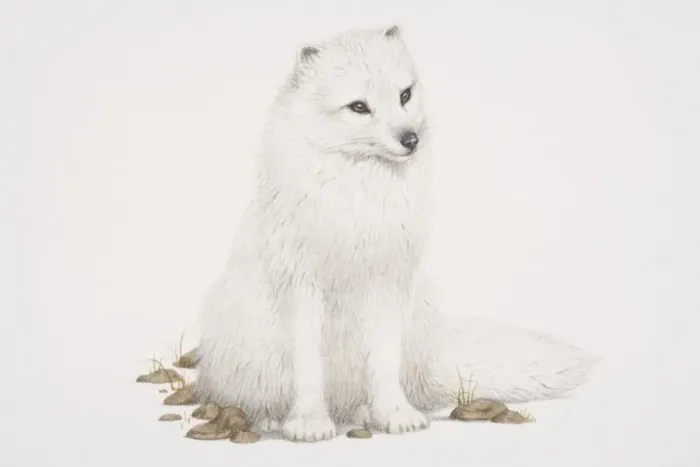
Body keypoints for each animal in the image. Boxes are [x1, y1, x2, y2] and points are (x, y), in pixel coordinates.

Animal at [195, 25, 598, 442]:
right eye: (359, 107)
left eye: (405, 94)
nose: (411, 139)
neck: (361, 199)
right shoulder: (301, 288)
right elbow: (308, 368)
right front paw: (308, 422)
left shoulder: (388, 283)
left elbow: (384, 360)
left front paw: (394, 414)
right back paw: (273, 418)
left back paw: (364, 413)